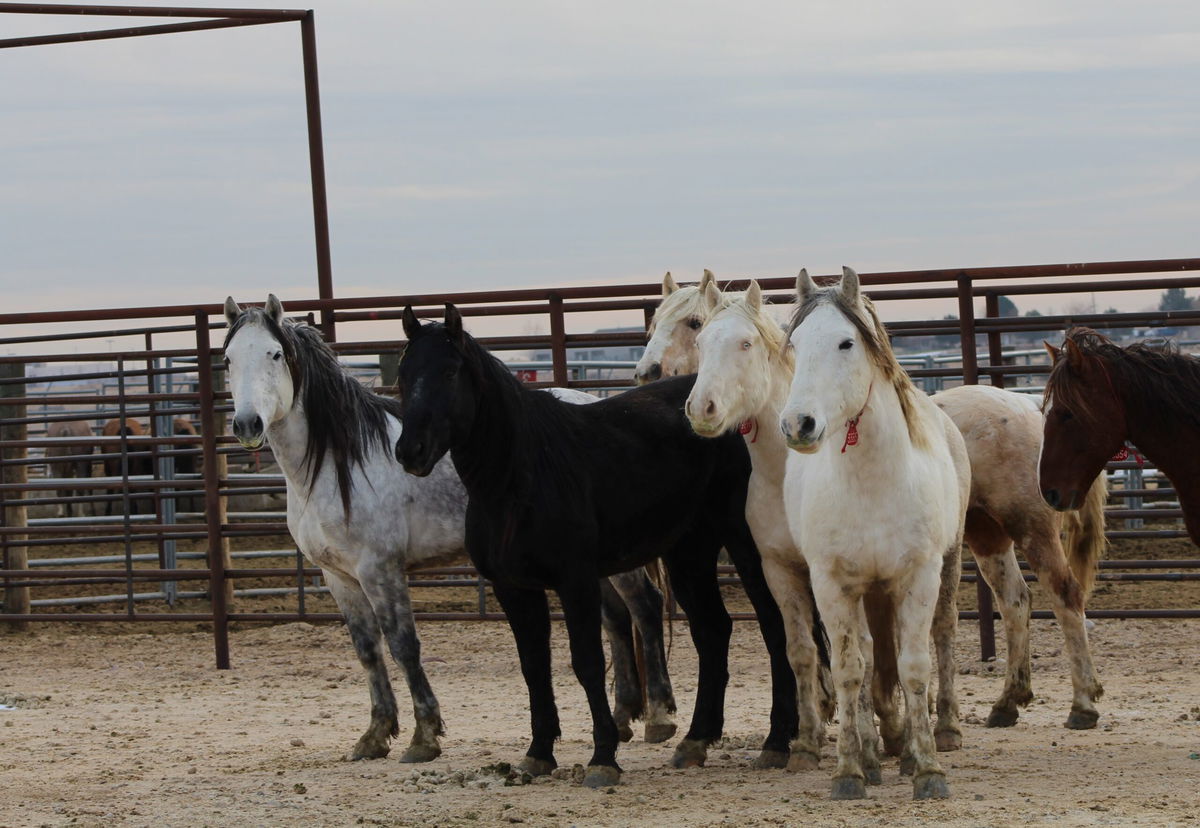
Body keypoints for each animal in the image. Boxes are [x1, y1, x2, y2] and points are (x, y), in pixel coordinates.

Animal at [222, 294, 681, 763]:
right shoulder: (338, 577)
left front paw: (424, 736)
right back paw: (624, 718)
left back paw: (659, 717)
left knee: (644, 606)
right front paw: (375, 735)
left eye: (275, 355)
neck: (338, 464)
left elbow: (403, 646)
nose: (247, 424)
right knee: (616, 619)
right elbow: (367, 651)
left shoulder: (381, 570)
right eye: (227, 359)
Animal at [782, 267, 969, 796]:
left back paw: (940, 733)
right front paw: (849, 770)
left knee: (942, 635)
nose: (798, 424)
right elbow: (850, 670)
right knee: (867, 657)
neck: (872, 484)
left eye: (846, 343)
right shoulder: (832, 584)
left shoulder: (919, 576)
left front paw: (927, 769)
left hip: (948, 565)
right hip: (867, 591)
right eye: (795, 344)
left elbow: (914, 666)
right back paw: (871, 754)